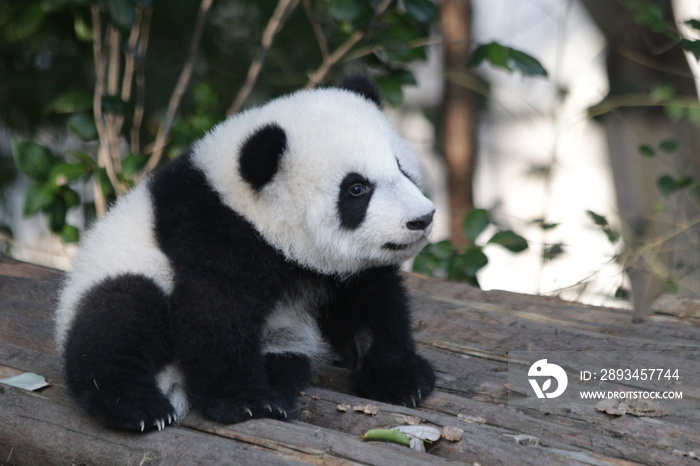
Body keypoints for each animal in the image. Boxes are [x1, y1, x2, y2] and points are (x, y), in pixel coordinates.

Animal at [56, 74, 438, 432]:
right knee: (118, 318)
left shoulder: (341, 269)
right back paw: (138, 406)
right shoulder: (209, 233)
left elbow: (369, 306)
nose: (422, 219)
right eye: (357, 188)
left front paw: (402, 380)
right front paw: (245, 401)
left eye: (402, 168)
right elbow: (217, 313)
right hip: (121, 271)